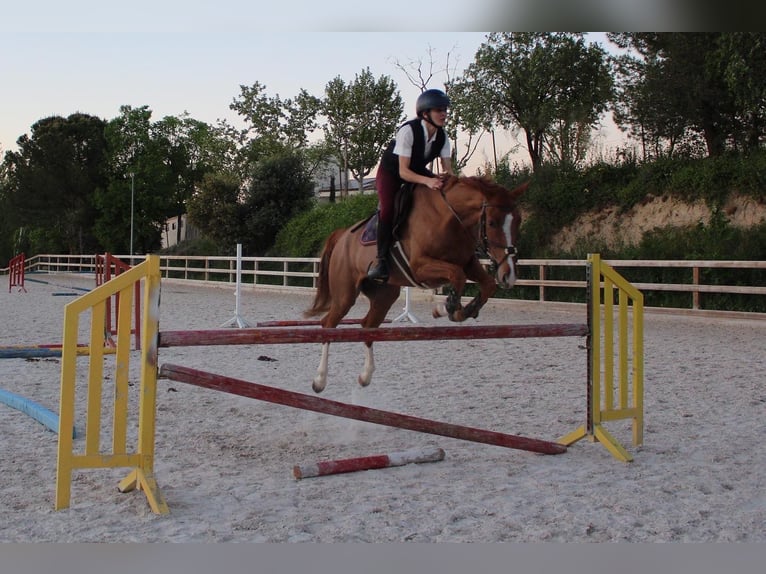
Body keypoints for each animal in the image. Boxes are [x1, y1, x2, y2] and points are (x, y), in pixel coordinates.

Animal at [304, 174, 528, 396]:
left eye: (518, 221)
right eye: (492, 222)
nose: (509, 274)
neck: (450, 218)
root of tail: (342, 236)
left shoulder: (468, 263)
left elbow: (487, 284)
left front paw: (461, 310)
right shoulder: (420, 266)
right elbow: (457, 276)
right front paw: (446, 309)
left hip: (385, 295)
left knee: (367, 326)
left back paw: (365, 376)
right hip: (345, 295)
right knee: (328, 325)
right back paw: (319, 380)